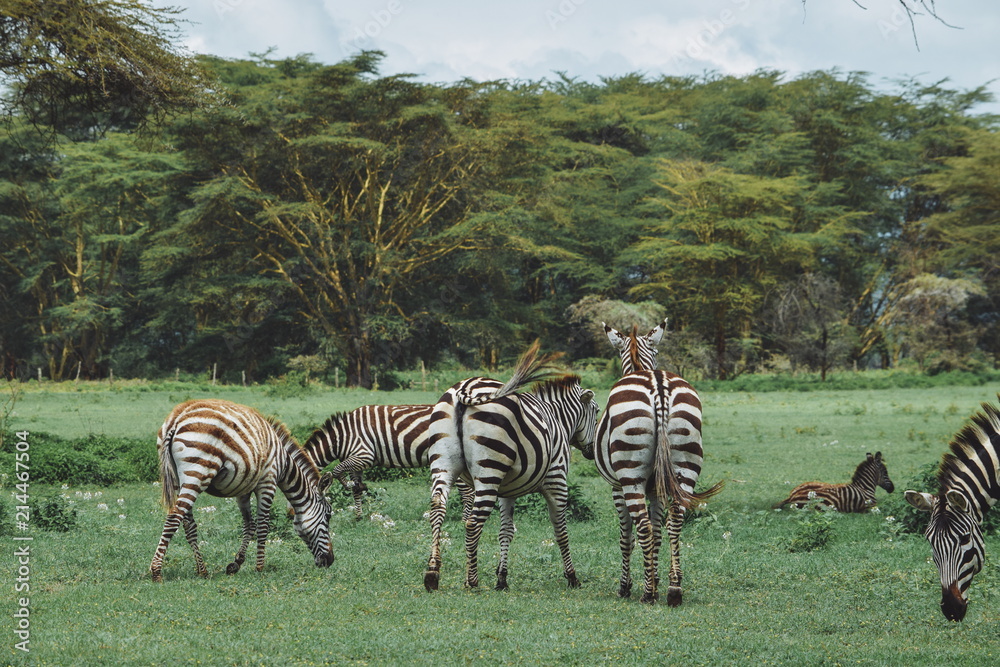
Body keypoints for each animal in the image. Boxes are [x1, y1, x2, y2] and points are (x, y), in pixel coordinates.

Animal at [150, 399, 334, 582]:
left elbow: (249, 525)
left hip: (177, 479)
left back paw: (202, 570)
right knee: (174, 516)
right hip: (197, 472)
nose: (330, 561)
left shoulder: (243, 488)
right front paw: (259, 567)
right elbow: (263, 525)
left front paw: (236, 563)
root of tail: (176, 418)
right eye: (328, 516)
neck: (284, 463)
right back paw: (156, 571)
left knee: (188, 523)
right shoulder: (268, 482)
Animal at [301, 404, 476, 520]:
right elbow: (355, 490)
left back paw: (464, 520)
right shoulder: (356, 463)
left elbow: (337, 470)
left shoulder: (363, 455)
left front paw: (347, 485)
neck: (341, 437)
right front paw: (358, 516)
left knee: (467, 492)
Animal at [422, 342, 599, 592]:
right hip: (489, 471)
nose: (591, 451)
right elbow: (561, 531)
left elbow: (506, 532)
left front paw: (502, 578)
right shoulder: (557, 480)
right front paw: (572, 577)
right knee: (472, 523)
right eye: (597, 412)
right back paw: (472, 581)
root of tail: (466, 387)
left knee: (437, 510)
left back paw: (432, 573)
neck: (557, 418)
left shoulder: (508, 491)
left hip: (443, 464)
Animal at [595, 368, 723, 605]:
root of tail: (659, 384)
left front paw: (626, 586)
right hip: (686, 461)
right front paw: (655, 578)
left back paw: (648, 595)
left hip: (630, 471)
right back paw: (674, 589)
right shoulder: (658, 489)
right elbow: (658, 533)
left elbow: (627, 538)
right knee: (675, 520)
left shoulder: (617, 487)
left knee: (643, 527)